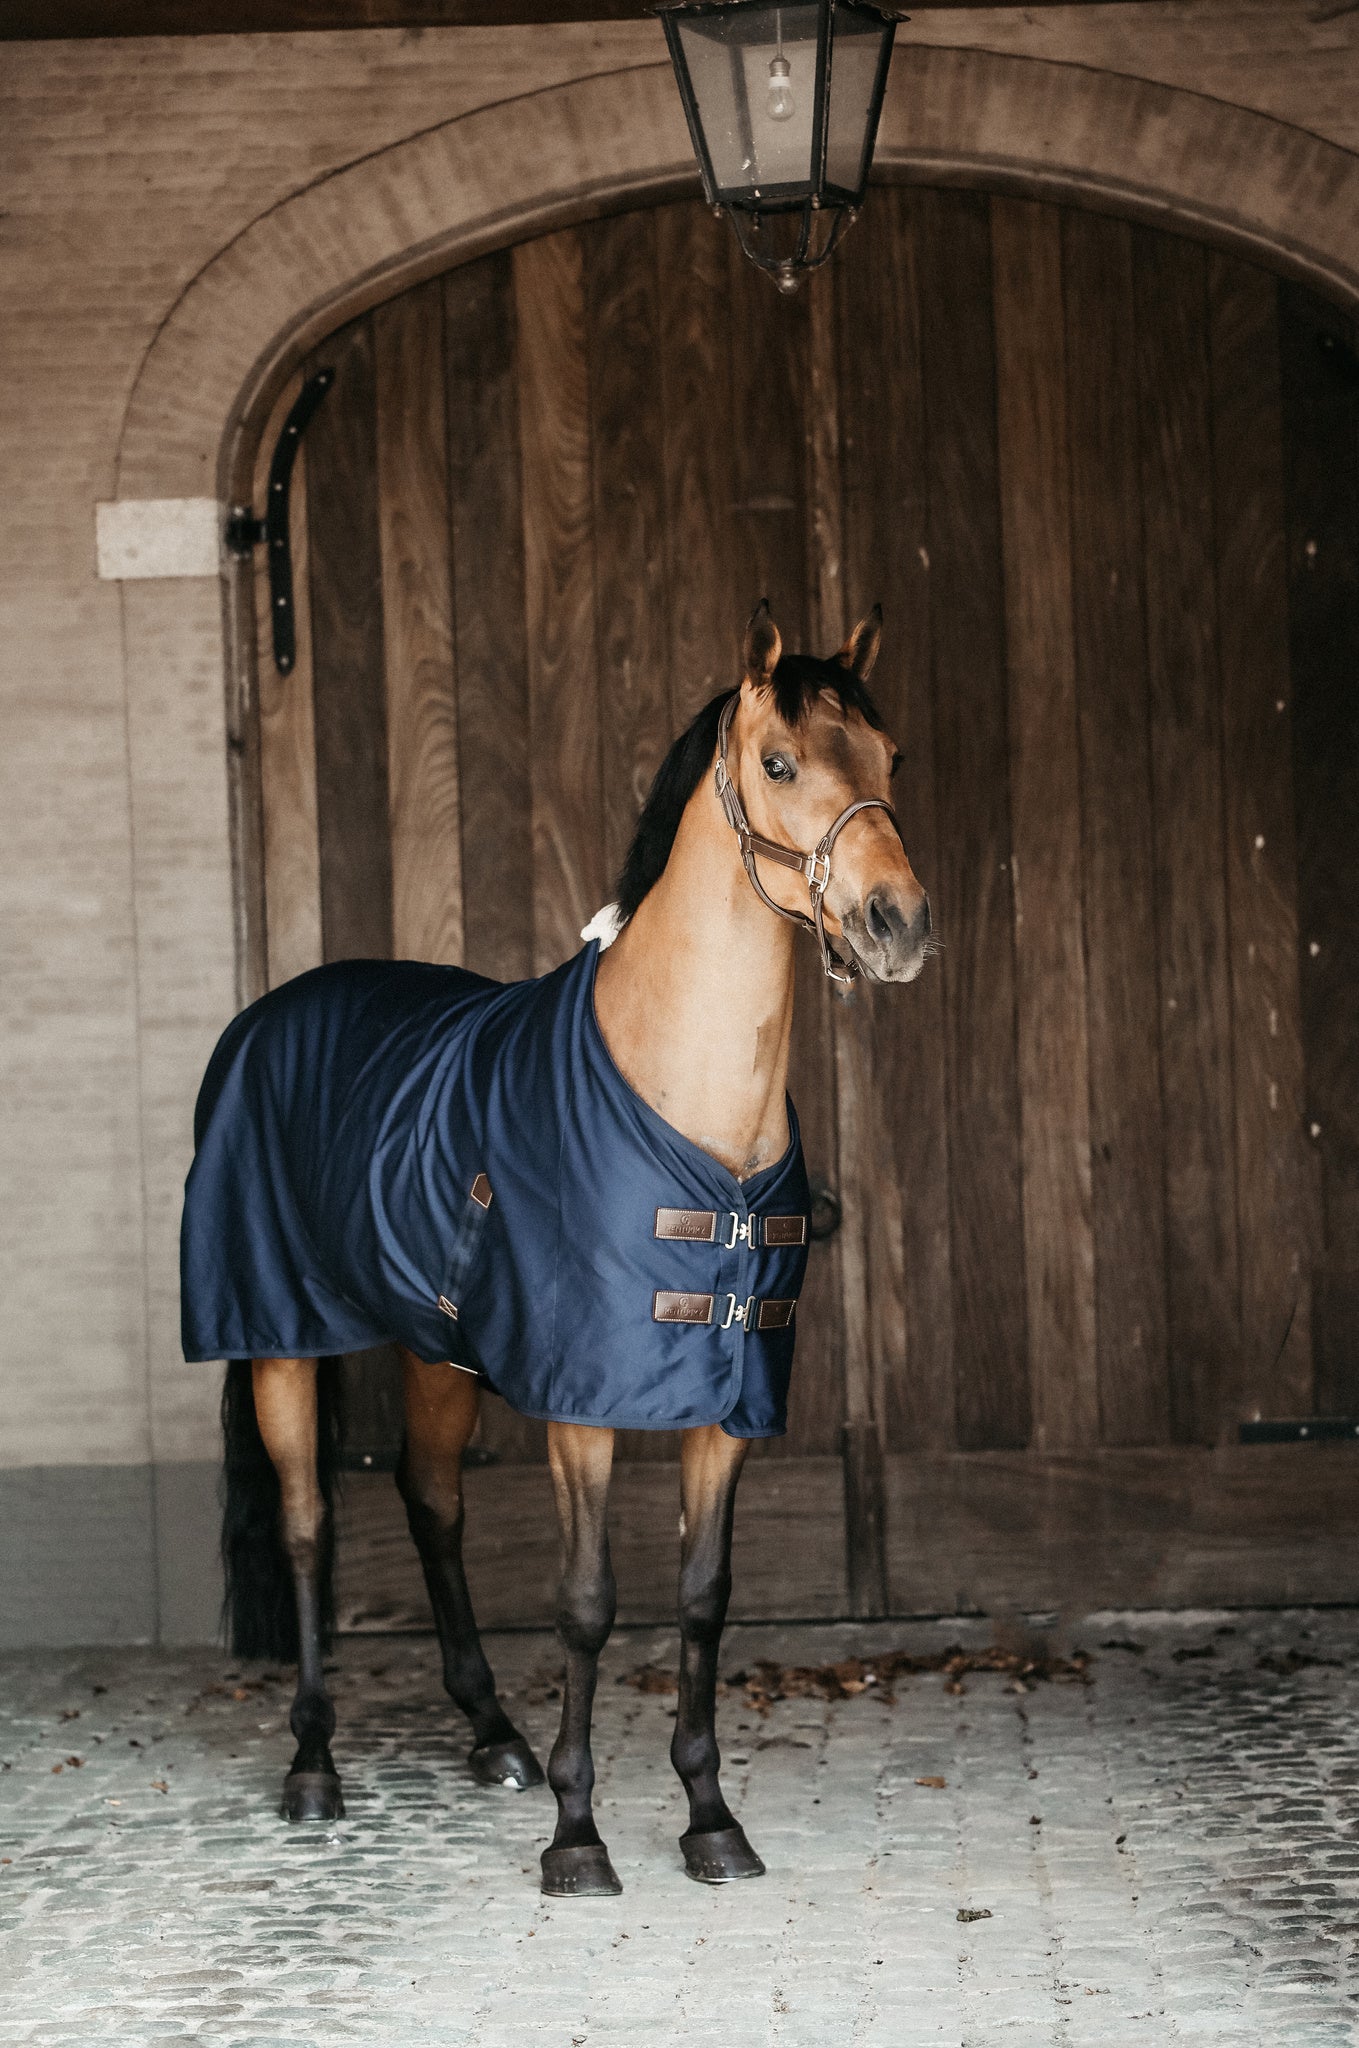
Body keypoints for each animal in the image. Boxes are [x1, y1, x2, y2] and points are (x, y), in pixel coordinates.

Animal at [185, 600, 932, 1896]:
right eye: (781, 762)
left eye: (887, 756)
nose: (899, 924)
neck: (686, 1099)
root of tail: (268, 1014)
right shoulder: (579, 1406)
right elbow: (587, 1601)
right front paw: (579, 1835)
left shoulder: (727, 1404)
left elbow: (702, 1597)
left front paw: (710, 1816)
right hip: (282, 1343)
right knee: (310, 1528)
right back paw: (315, 1763)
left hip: (435, 1353)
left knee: (432, 1503)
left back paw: (492, 1732)